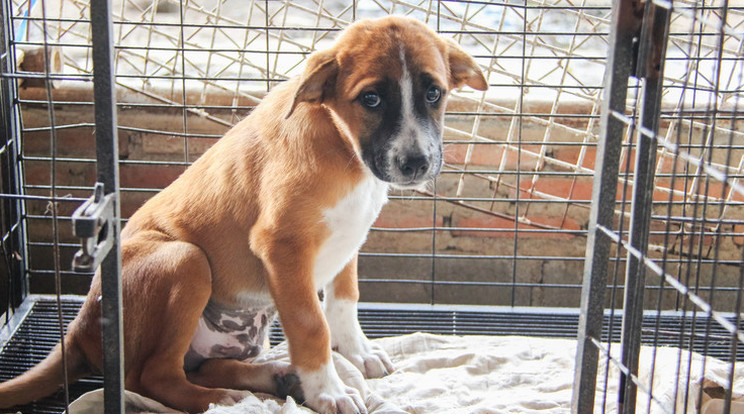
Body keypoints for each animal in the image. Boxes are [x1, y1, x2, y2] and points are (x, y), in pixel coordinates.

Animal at [0, 16, 488, 414]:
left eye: (434, 93)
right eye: (370, 99)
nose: (416, 164)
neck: (343, 145)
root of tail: (79, 326)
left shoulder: (349, 240)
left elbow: (344, 303)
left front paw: (357, 352)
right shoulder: (283, 246)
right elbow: (312, 326)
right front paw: (328, 391)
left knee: (198, 367)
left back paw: (274, 376)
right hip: (184, 260)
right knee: (152, 378)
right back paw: (225, 398)